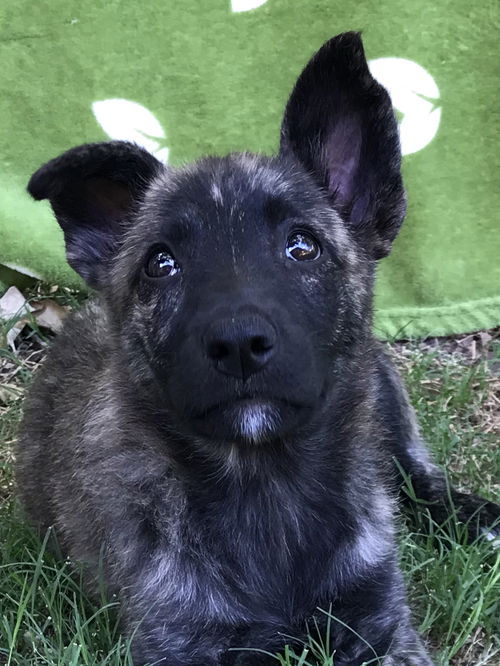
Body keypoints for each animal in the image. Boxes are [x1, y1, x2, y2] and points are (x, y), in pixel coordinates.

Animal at [16, 32, 500, 664]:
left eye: (303, 246)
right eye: (160, 263)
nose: (239, 345)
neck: (265, 481)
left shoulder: (383, 625)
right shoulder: (179, 639)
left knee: (415, 473)